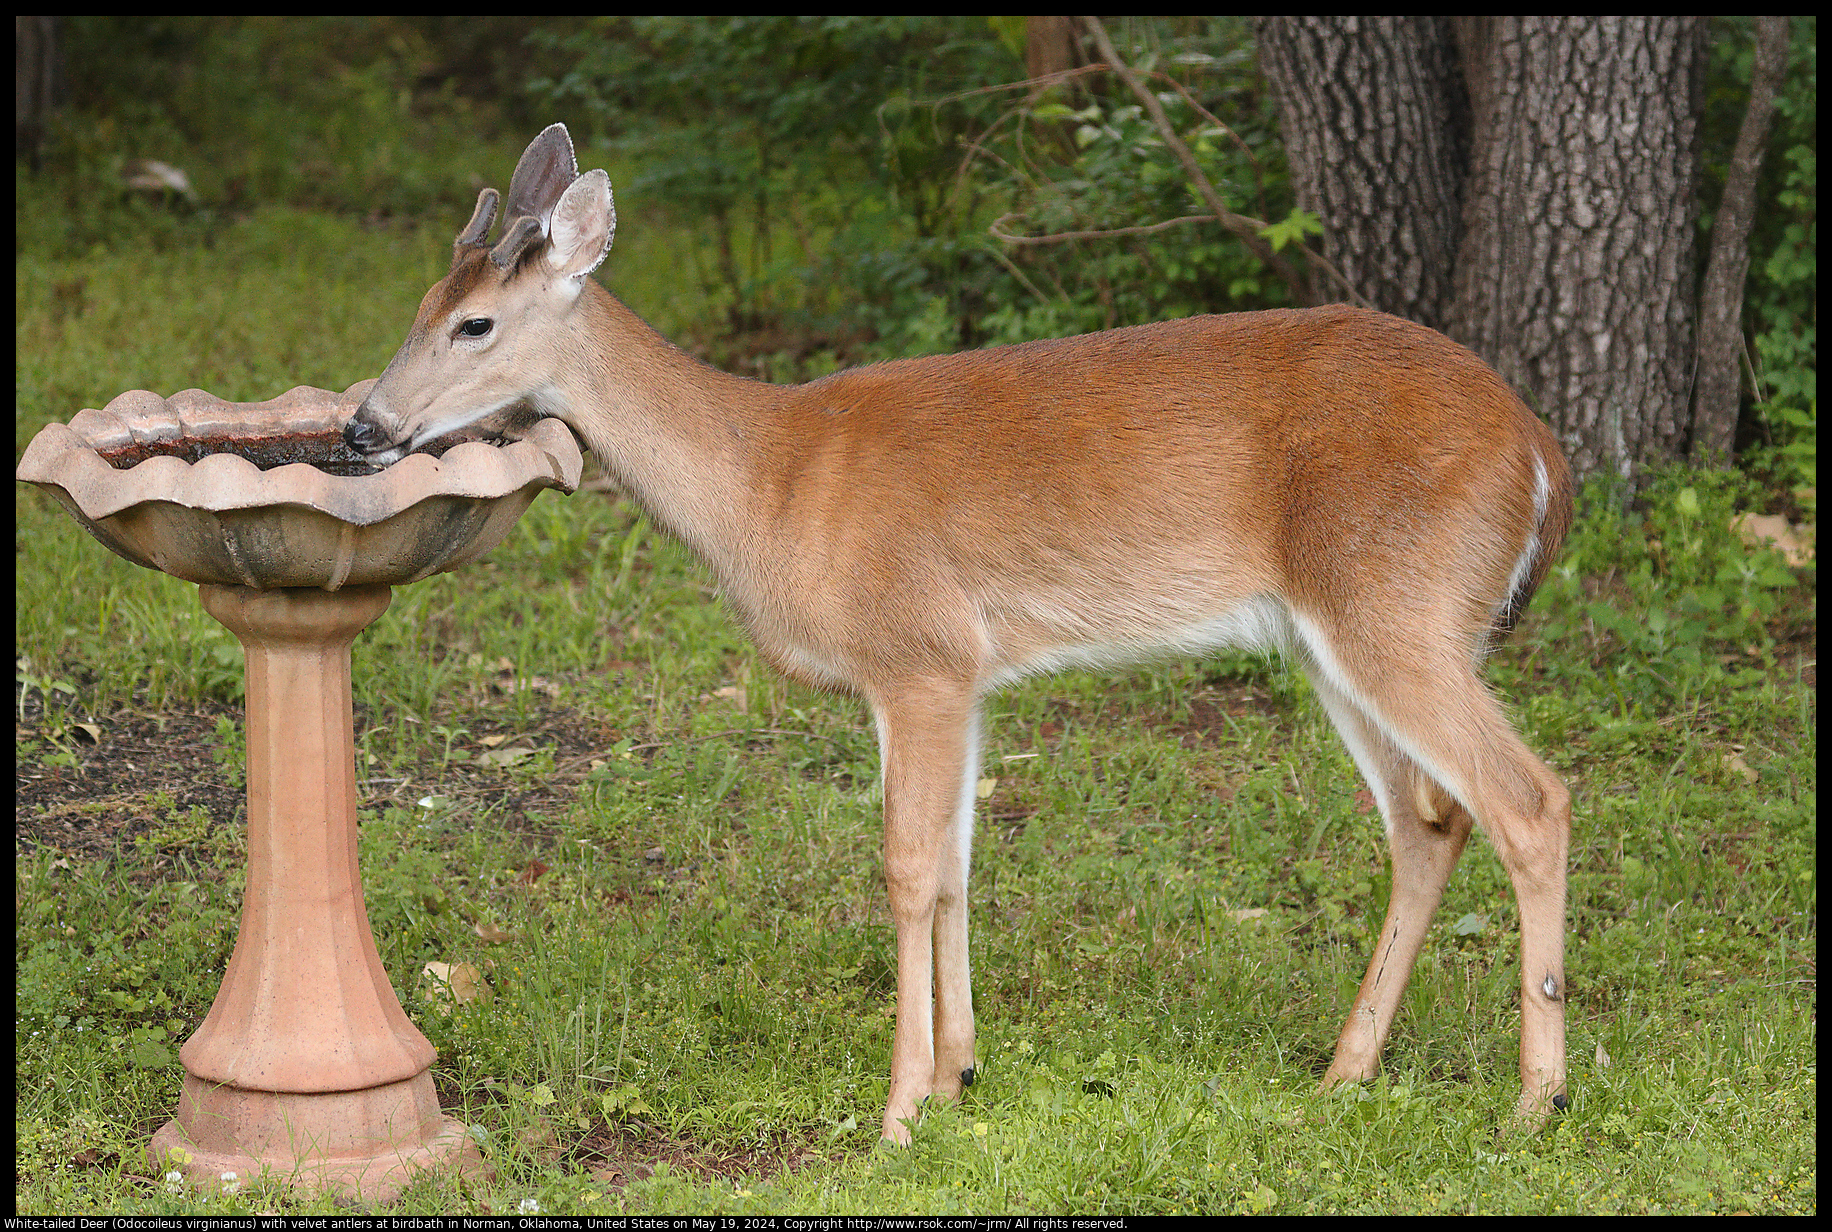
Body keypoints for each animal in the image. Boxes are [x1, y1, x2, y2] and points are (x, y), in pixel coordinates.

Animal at [346, 120, 1575, 1144]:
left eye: (474, 322)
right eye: (414, 306)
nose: (363, 426)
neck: (769, 488)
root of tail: (1539, 450)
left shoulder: (917, 654)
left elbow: (903, 865)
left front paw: (895, 1112)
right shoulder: (959, 675)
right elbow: (955, 864)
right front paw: (956, 1075)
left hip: (1397, 603)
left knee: (1528, 800)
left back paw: (1535, 1097)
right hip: (1336, 638)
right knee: (1427, 821)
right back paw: (1345, 1069)